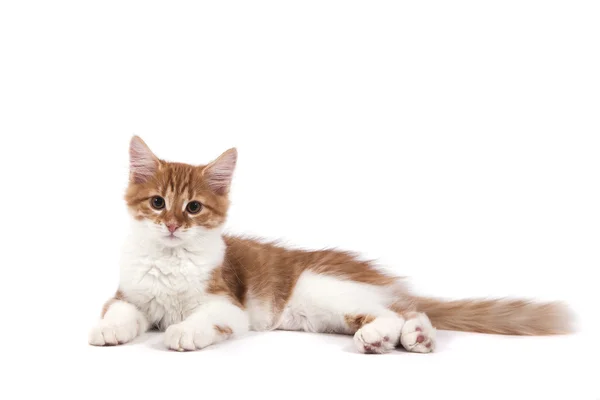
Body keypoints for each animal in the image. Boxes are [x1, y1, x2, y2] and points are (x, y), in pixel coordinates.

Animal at [88, 137, 572, 354]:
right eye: (157, 203)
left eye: (192, 207)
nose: (171, 225)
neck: (170, 260)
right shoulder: (128, 293)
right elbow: (120, 311)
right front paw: (110, 330)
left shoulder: (228, 304)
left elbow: (203, 318)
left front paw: (184, 331)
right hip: (325, 314)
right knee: (405, 312)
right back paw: (406, 338)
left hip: (324, 289)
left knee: (402, 309)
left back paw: (392, 335)